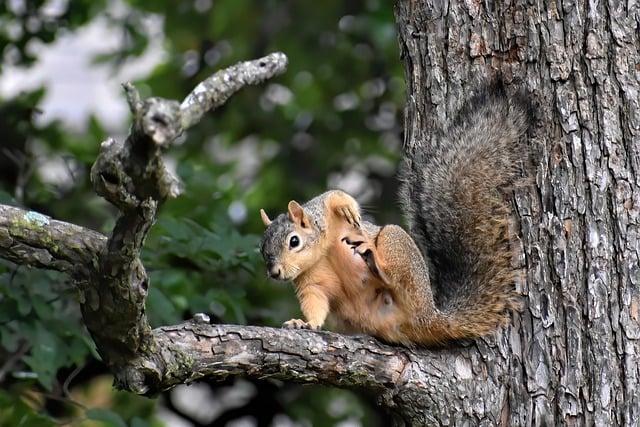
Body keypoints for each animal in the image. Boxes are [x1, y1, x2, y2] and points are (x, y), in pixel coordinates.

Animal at [258, 84, 532, 348]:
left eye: (294, 241)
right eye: (262, 250)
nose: (275, 273)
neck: (321, 251)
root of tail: (430, 317)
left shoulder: (323, 211)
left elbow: (335, 196)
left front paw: (347, 208)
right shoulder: (311, 282)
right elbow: (315, 302)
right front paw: (303, 323)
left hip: (396, 243)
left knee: (395, 275)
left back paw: (376, 261)